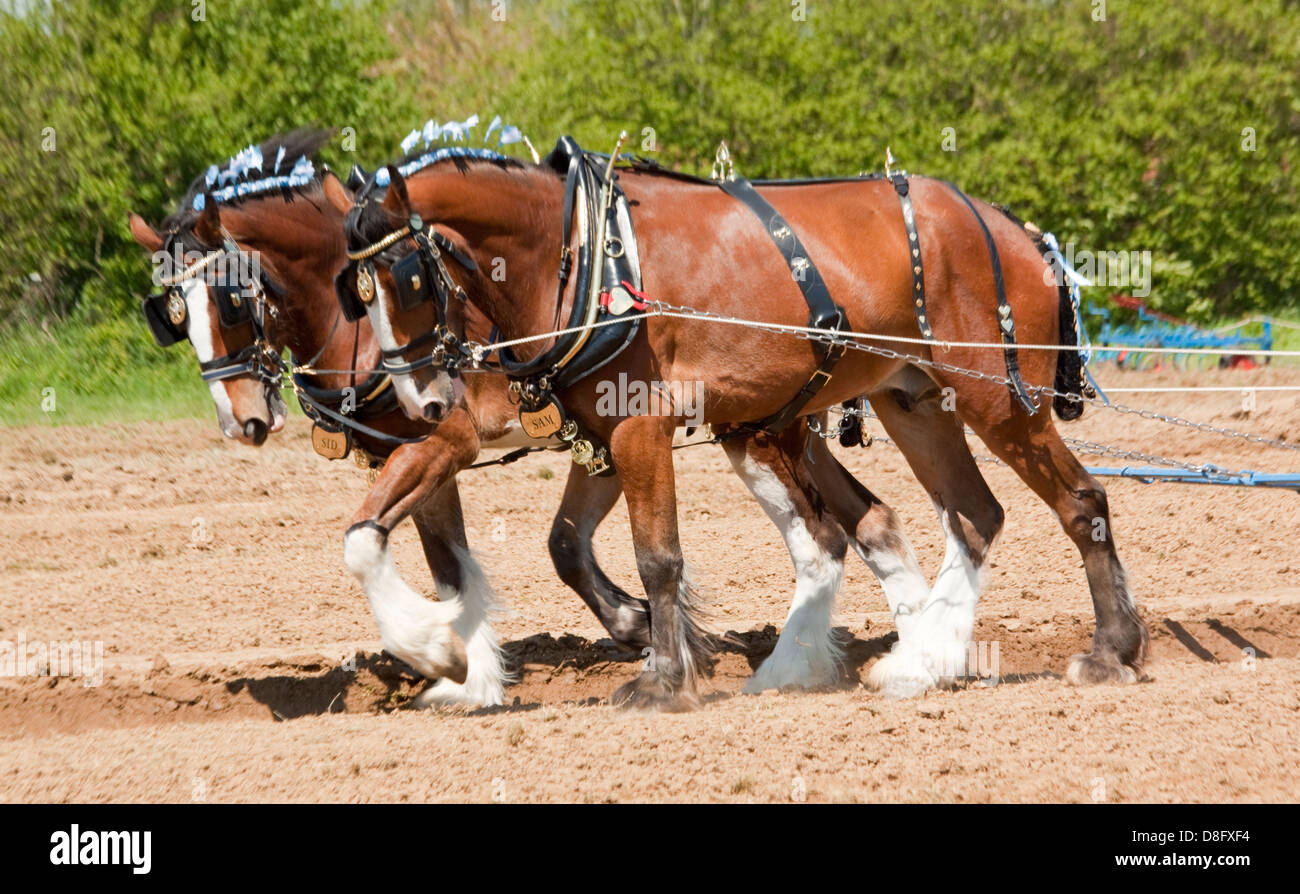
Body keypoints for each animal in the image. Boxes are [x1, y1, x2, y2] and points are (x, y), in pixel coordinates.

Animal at [127, 130, 935, 705]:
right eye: (173, 313)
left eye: (231, 296)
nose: (240, 421)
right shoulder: (539, 443)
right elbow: (492, 558)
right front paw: (478, 671)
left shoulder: (455, 439)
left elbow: (369, 542)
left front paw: (438, 650)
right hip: (762, 426)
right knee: (861, 523)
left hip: (771, 426)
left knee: (842, 527)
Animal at [331, 141, 1150, 712]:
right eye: (353, 294)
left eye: (409, 279)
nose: (423, 401)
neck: (585, 259)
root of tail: (1017, 231)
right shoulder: (600, 435)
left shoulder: (639, 427)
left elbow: (658, 559)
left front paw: (662, 682)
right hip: (915, 402)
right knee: (974, 515)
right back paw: (920, 663)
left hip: (999, 399)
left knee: (1080, 501)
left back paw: (1111, 650)